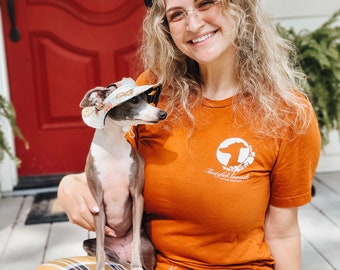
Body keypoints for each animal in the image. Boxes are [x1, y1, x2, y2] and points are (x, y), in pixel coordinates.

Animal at [78, 78, 166, 270]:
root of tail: (121, 249)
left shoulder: (137, 196)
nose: (162, 113)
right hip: (91, 244)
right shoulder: (97, 204)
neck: (113, 148)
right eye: (134, 100)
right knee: (109, 256)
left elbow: (136, 244)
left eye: (147, 99)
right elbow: (101, 254)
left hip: (147, 247)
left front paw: (136, 264)